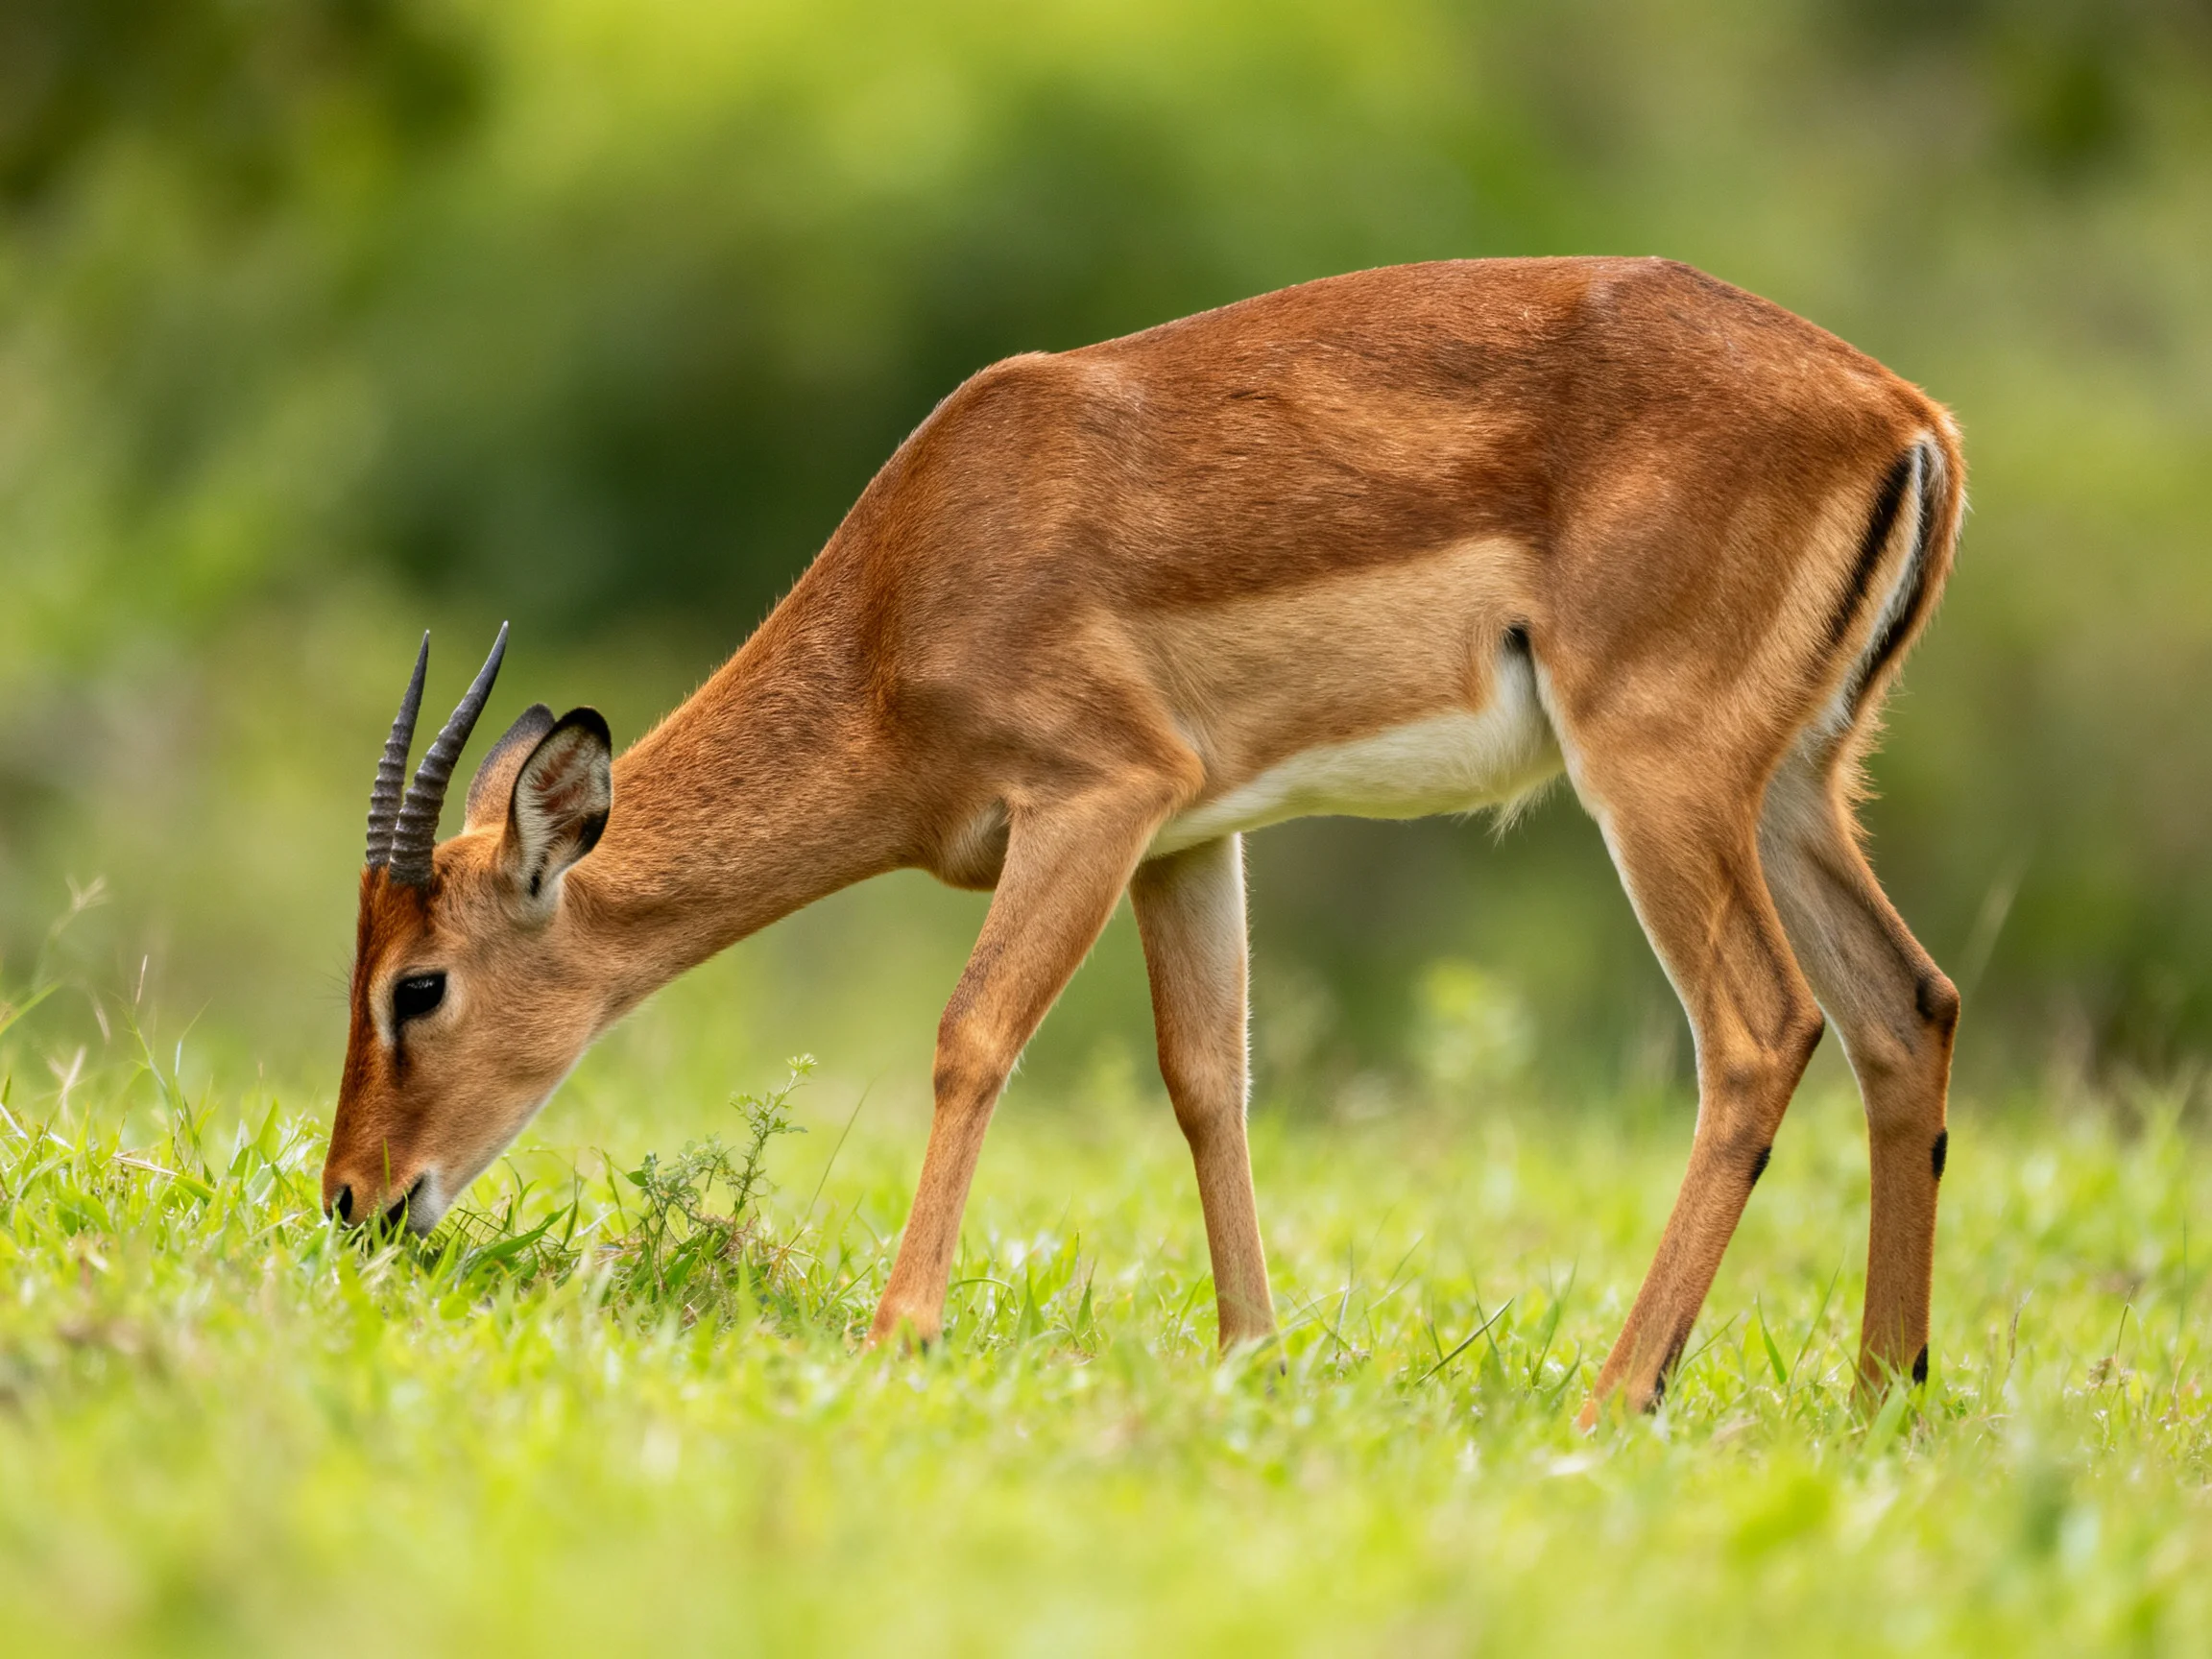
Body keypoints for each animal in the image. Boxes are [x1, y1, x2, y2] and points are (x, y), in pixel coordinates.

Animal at [322, 257, 1964, 1419]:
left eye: (419, 986)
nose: (350, 1201)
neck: (903, 592)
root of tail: (1905, 417)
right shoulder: (1188, 838)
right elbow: (1207, 1082)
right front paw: (1252, 1354)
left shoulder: (1094, 800)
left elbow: (972, 1034)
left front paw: (899, 1333)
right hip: (1798, 790)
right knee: (1908, 1011)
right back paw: (1879, 1396)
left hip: (1661, 781)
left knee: (1760, 1030)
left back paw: (1620, 1395)